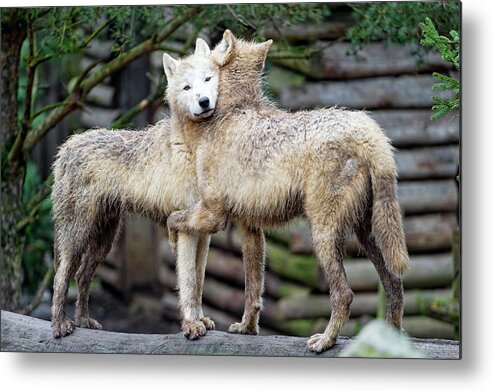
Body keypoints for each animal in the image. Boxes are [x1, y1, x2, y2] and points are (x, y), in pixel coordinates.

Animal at [163, 30, 410, 354]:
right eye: (187, 86)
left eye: (207, 78)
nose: (204, 102)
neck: (231, 111)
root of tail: (370, 133)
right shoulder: (250, 229)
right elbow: (253, 289)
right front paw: (247, 328)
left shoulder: (214, 214)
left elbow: (173, 219)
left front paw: (172, 242)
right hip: (365, 233)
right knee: (394, 283)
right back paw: (388, 342)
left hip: (323, 235)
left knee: (344, 294)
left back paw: (325, 341)